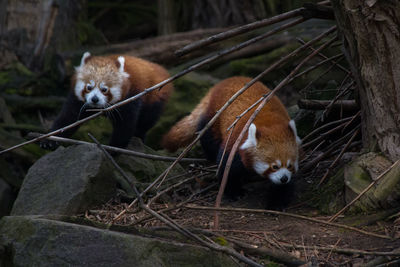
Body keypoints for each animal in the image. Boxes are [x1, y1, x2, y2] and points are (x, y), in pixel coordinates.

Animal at [40, 51, 173, 149]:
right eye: (89, 87)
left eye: (104, 89)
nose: (94, 99)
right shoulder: (76, 101)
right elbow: (68, 118)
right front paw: (50, 140)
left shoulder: (130, 99)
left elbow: (125, 126)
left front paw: (114, 149)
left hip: (154, 98)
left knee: (145, 122)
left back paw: (139, 138)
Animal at [162, 76, 300, 210]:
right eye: (274, 166)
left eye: (289, 166)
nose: (284, 178)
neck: (270, 124)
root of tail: (227, 80)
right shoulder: (236, 141)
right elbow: (227, 167)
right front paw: (234, 192)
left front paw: (277, 202)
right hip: (215, 116)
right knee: (208, 139)